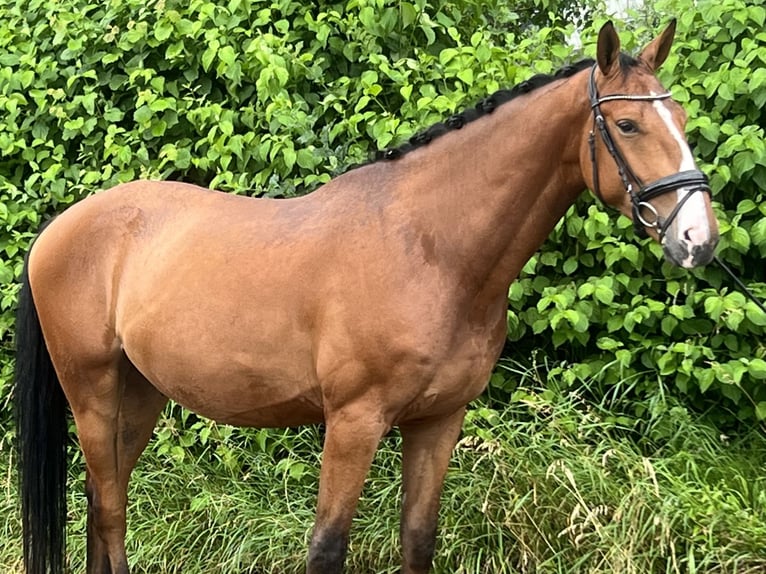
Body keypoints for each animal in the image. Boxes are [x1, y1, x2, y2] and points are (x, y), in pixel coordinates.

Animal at [12, 20, 720, 574]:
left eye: (683, 120)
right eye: (627, 124)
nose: (699, 239)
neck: (429, 247)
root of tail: (57, 229)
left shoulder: (438, 422)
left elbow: (419, 540)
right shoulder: (354, 422)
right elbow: (328, 548)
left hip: (140, 395)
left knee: (106, 501)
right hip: (92, 391)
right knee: (107, 508)